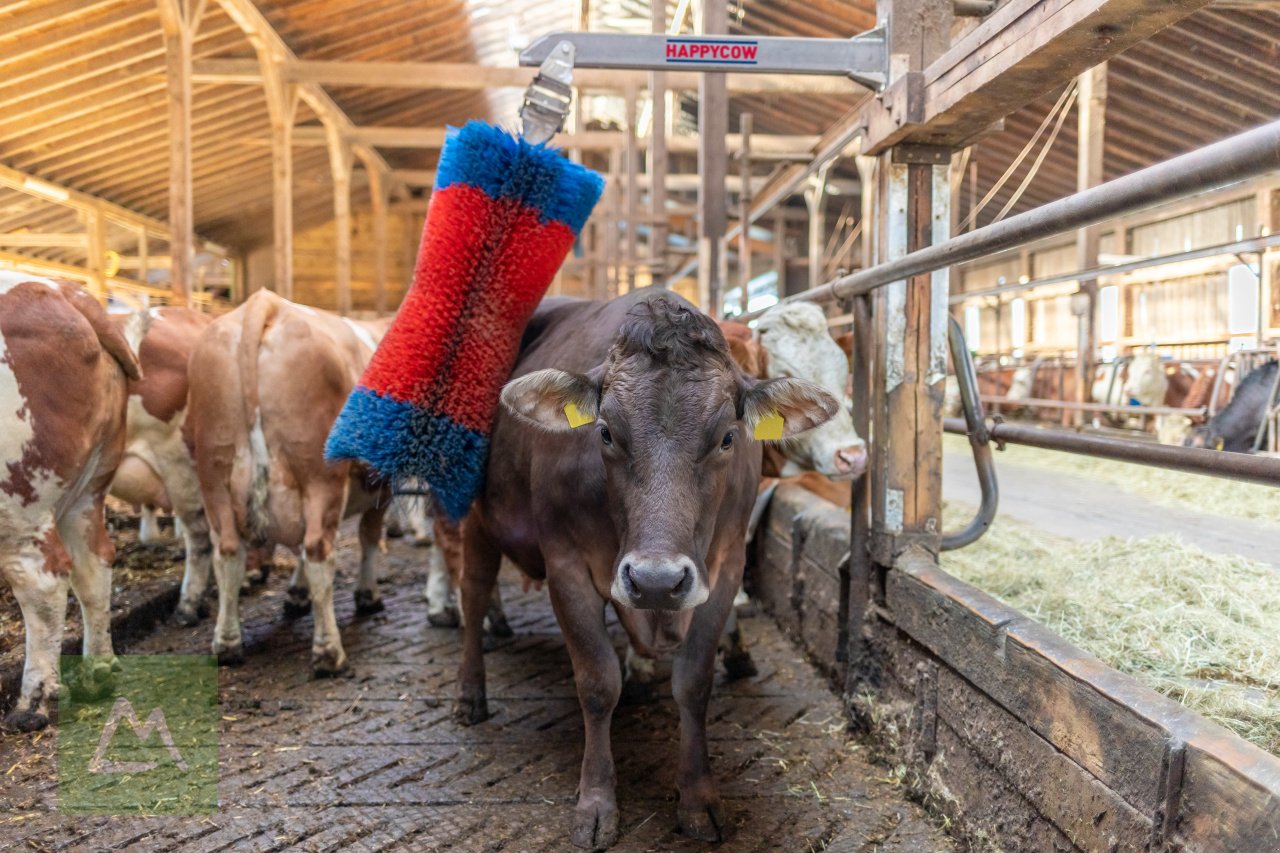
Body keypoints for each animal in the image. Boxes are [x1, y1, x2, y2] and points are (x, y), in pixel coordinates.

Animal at [0, 275, 140, 727]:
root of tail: (64, 292)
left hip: (18, 500)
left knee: (43, 580)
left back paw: (33, 702)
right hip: (89, 487)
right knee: (94, 563)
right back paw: (98, 671)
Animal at [186, 289, 389, 676]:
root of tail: (264, 303)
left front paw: (297, 594)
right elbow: (368, 536)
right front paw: (367, 595)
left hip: (213, 474)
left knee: (229, 554)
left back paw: (227, 643)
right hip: (321, 475)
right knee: (318, 549)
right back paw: (328, 652)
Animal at [460, 290, 839, 845]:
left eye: (728, 437)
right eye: (605, 433)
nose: (656, 579)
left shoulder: (724, 565)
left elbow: (694, 682)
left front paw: (699, 798)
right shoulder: (566, 566)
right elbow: (597, 684)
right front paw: (596, 803)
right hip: (472, 516)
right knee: (472, 592)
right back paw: (470, 692)